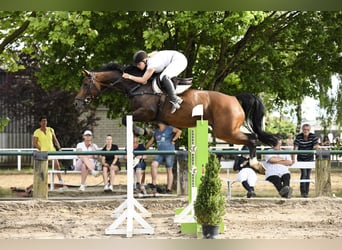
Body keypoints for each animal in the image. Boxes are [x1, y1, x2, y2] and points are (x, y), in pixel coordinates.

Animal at [75, 62, 278, 174]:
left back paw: (256, 165)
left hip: (226, 132)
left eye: (85, 84)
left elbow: (127, 119)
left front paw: (142, 130)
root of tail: (235, 99)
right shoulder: (160, 119)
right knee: (252, 138)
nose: (77, 103)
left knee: (252, 139)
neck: (138, 86)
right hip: (227, 131)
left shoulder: (146, 112)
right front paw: (146, 132)